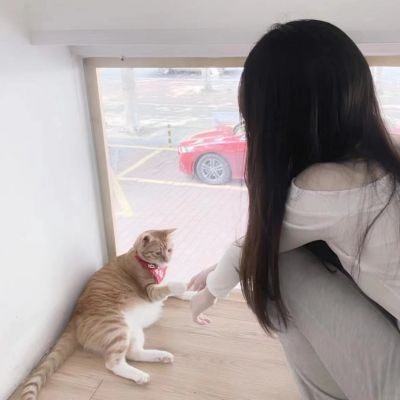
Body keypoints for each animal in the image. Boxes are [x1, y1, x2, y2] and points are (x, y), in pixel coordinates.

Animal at [19, 228, 186, 400]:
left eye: (170, 250)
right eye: (158, 252)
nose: (167, 260)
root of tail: (73, 317)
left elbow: (173, 291)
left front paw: (189, 293)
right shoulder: (150, 292)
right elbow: (166, 288)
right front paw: (182, 285)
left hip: (133, 330)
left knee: (133, 353)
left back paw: (161, 356)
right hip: (117, 327)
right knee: (113, 363)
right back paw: (140, 376)